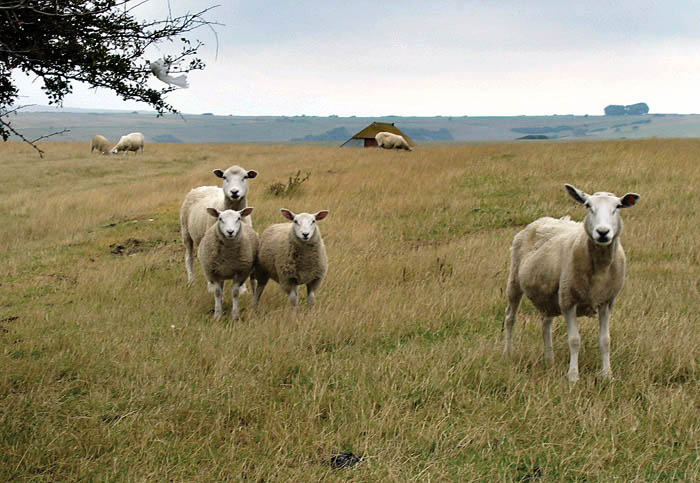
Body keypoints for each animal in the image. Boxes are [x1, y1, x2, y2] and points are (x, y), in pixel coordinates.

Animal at [503, 184, 640, 383]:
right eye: (588, 205)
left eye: (618, 207)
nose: (603, 232)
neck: (599, 268)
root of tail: (541, 219)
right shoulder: (568, 300)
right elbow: (574, 340)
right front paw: (573, 376)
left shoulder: (607, 302)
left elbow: (605, 340)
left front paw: (607, 375)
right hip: (514, 280)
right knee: (510, 317)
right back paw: (507, 353)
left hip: (549, 294)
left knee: (546, 323)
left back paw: (549, 360)